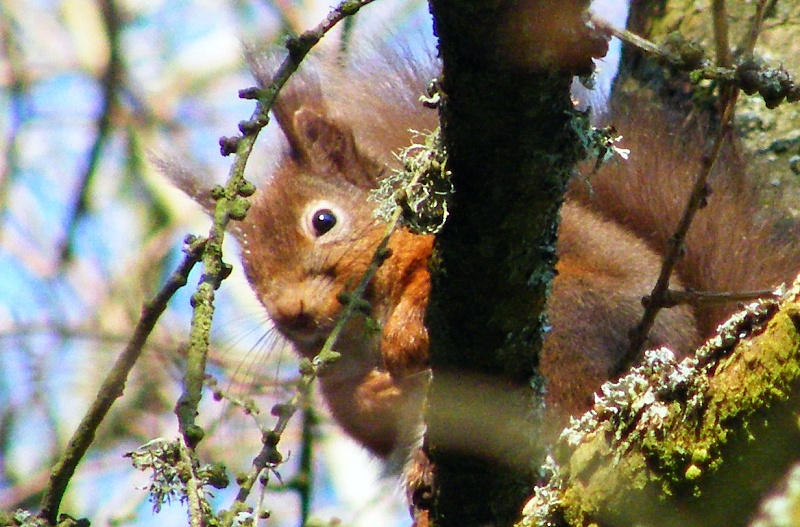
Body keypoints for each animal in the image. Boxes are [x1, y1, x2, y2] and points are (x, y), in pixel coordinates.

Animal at [166, 45, 796, 516]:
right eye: (246, 270)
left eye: (323, 221)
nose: (292, 314)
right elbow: (361, 418)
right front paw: (377, 390)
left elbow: (424, 284)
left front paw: (405, 333)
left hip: (573, 328)